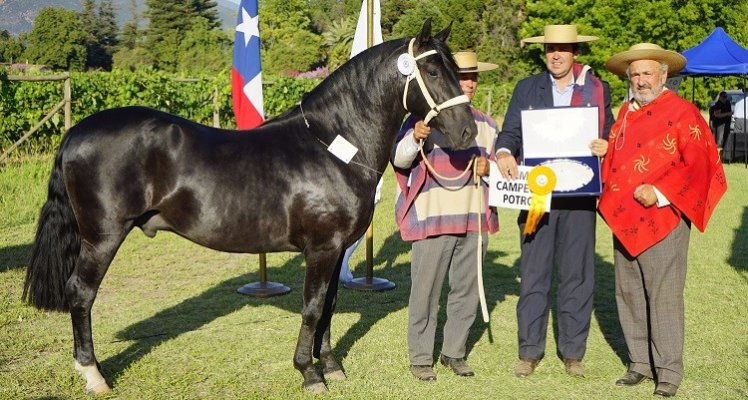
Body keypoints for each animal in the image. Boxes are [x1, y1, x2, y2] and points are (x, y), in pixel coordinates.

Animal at [24, 20, 480, 392]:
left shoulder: (336, 251)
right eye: (433, 71)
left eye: (455, 70)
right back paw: (94, 375)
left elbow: (330, 307)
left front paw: (331, 366)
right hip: (102, 237)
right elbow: (312, 308)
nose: (468, 132)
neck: (334, 145)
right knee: (81, 293)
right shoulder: (322, 249)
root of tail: (76, 132)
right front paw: (308, 373)